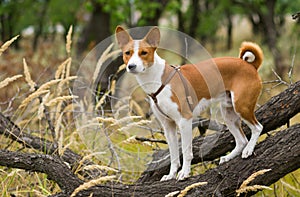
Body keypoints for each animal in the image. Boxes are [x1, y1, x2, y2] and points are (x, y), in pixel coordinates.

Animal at [116, 26, 264, 182]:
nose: (131, 66)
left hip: (242, 106)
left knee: (257, 128)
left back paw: (249, 150)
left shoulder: (184, 120)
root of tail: (250, 65)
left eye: (144, 53)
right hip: (228, 114)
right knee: (242, 140)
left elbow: (187, 152)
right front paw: (171, 175)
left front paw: (184, 173)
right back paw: (229, 157)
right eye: (127, 53)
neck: (158, 80)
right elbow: (174, 156)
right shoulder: (168, 126)